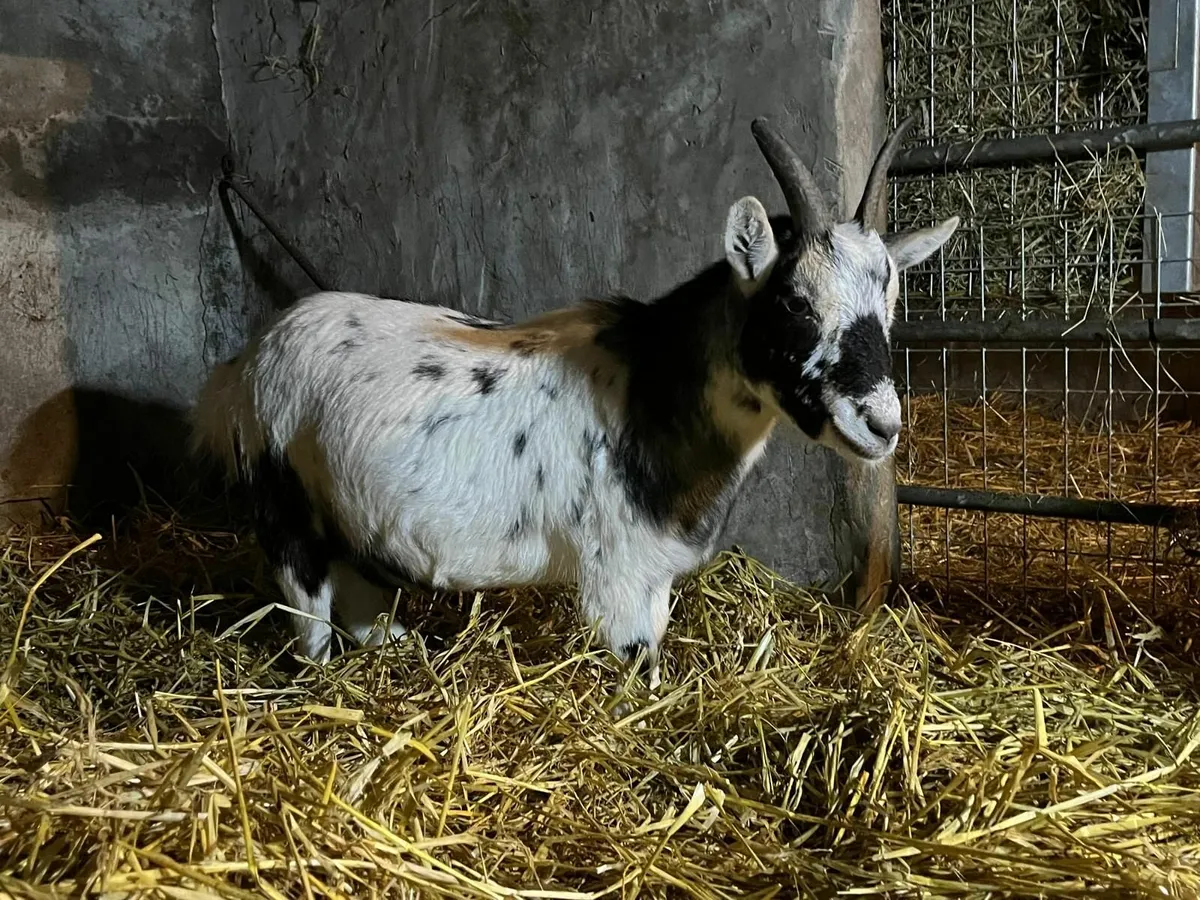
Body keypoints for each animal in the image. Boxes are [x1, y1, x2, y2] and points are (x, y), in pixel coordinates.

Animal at [191, 115, 959, 687]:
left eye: (890, 299)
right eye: (795, 302)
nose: (882, 424)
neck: (653, 382)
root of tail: (242, 369)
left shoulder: (654, 579)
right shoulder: (620, 578)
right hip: (284, 506)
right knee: (309, 615)